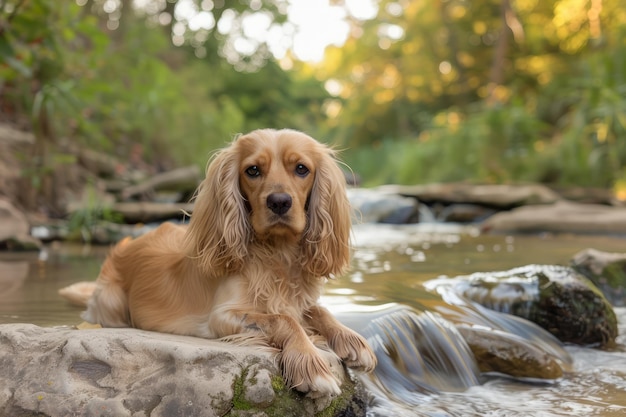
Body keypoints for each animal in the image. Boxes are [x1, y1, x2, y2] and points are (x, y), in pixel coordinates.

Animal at [81, 128, 378, 394]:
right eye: (253, 170)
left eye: (302, 169)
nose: (279, 202)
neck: (277, 253)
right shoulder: (221, 316)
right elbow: (283, 319)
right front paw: (311, 364)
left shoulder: (299, 300)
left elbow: (318, 310)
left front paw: (352, 340)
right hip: (111, 302)